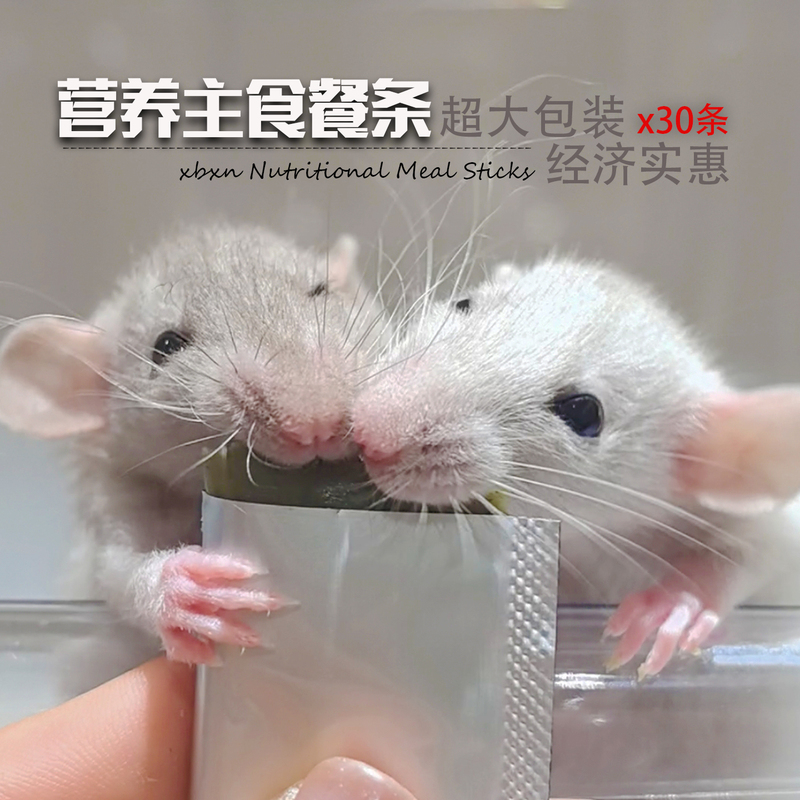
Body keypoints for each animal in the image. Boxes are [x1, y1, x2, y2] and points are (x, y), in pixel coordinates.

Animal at [0, 223, 389, 666]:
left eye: (321, 290)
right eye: (166, 346)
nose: (316, 420)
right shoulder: (114, 492)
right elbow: (114, 570)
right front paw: (178, 591)